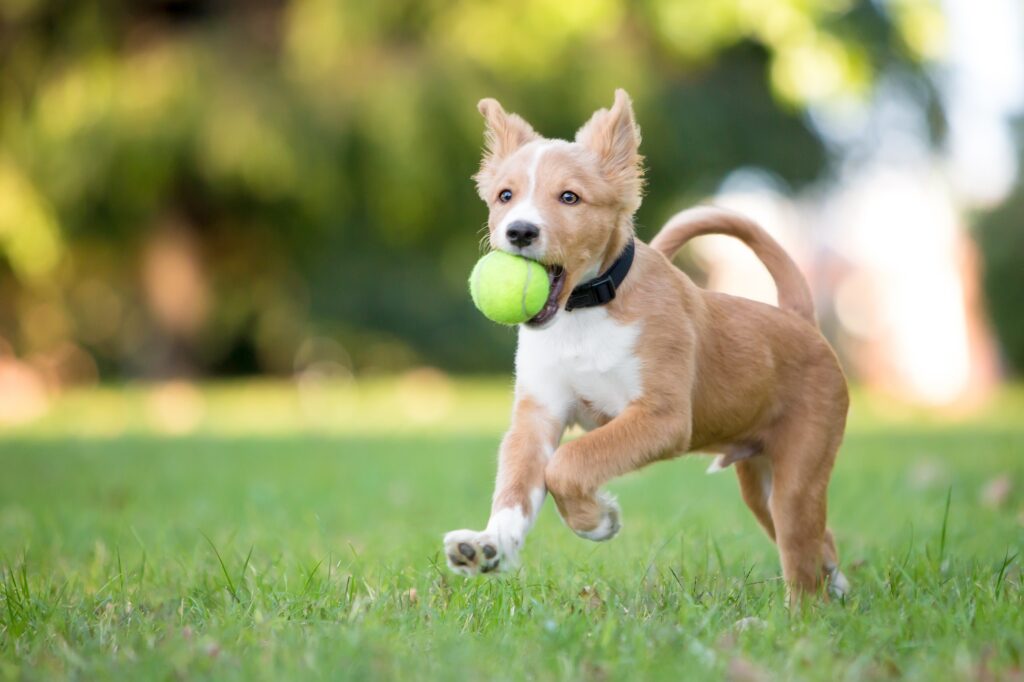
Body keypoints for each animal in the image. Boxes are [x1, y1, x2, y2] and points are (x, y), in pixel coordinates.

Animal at [444, 89, 851, 593]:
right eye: (505, 195)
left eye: (569, 197)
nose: (519, 231)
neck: (584, 314)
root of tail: (799, 319)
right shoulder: (537, 417)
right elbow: (516, 486)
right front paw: (489, 545)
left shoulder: (662, 417)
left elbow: (569, 463)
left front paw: (597, 521)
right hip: (760, 483)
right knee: (822, 542)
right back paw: (838, 589)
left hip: (798, 474)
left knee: (803, 561)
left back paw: (805, 611)